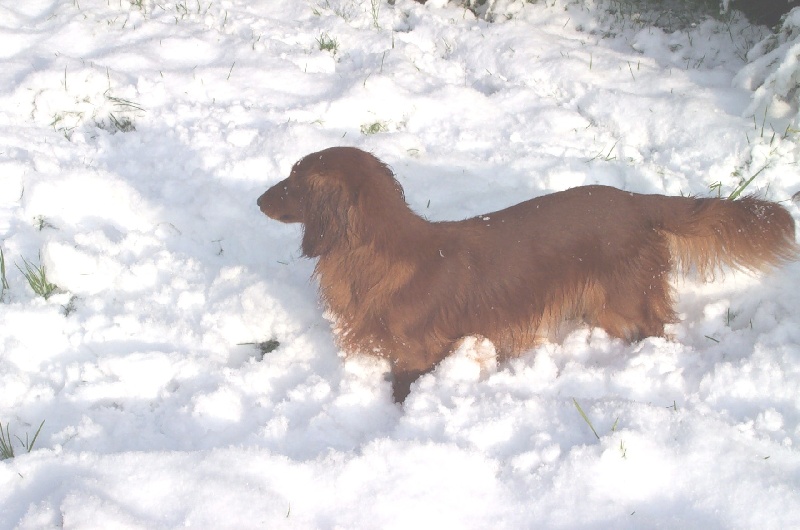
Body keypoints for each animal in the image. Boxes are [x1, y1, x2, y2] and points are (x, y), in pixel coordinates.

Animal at [260, 144, 796, 400]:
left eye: (293, 182)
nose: (259, 200)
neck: (383, 254)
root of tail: (633, 200)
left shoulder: (418, 354)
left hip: (628, 298)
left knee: (661, 329)